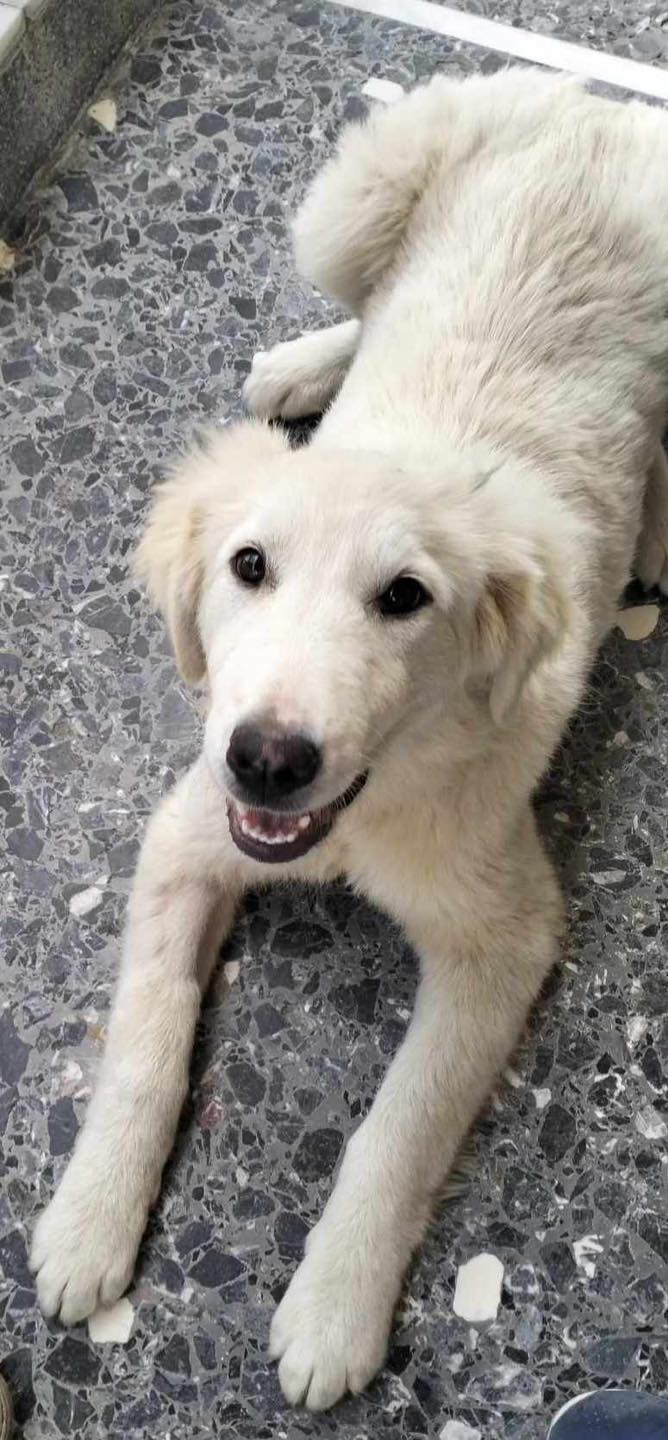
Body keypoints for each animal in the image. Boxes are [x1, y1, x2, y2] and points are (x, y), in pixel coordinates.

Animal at [31, 68, 668, 1410]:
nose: (267, 760)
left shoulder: (504, 934)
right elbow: (146, 1031)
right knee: (358, 300)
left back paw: (653, 527)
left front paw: (332, 1310)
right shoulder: (189, 828)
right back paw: (296, 366)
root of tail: (598, 98)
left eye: (405, 598)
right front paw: (87, 1222)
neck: (371, 796)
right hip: (347, 204)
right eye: (247, 568)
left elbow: (397, 1127)